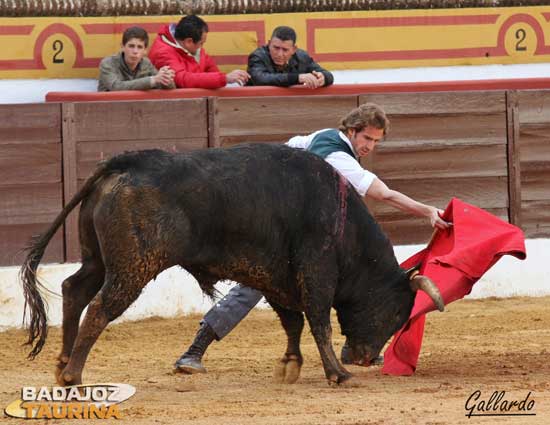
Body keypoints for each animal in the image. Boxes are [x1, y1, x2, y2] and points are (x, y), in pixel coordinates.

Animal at [21, 142, 446, 384]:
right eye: (397, 314)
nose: (365, 359)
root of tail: (124, 164)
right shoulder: (316, 273)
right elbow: (318, 322)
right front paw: (338, 375)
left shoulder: (275, 277)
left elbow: (292, 322)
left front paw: (291, 364)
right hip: (134, 266)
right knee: (98, 308)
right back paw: (72, 376)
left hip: (99, 259)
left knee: (74, 290)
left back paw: (63, 362)